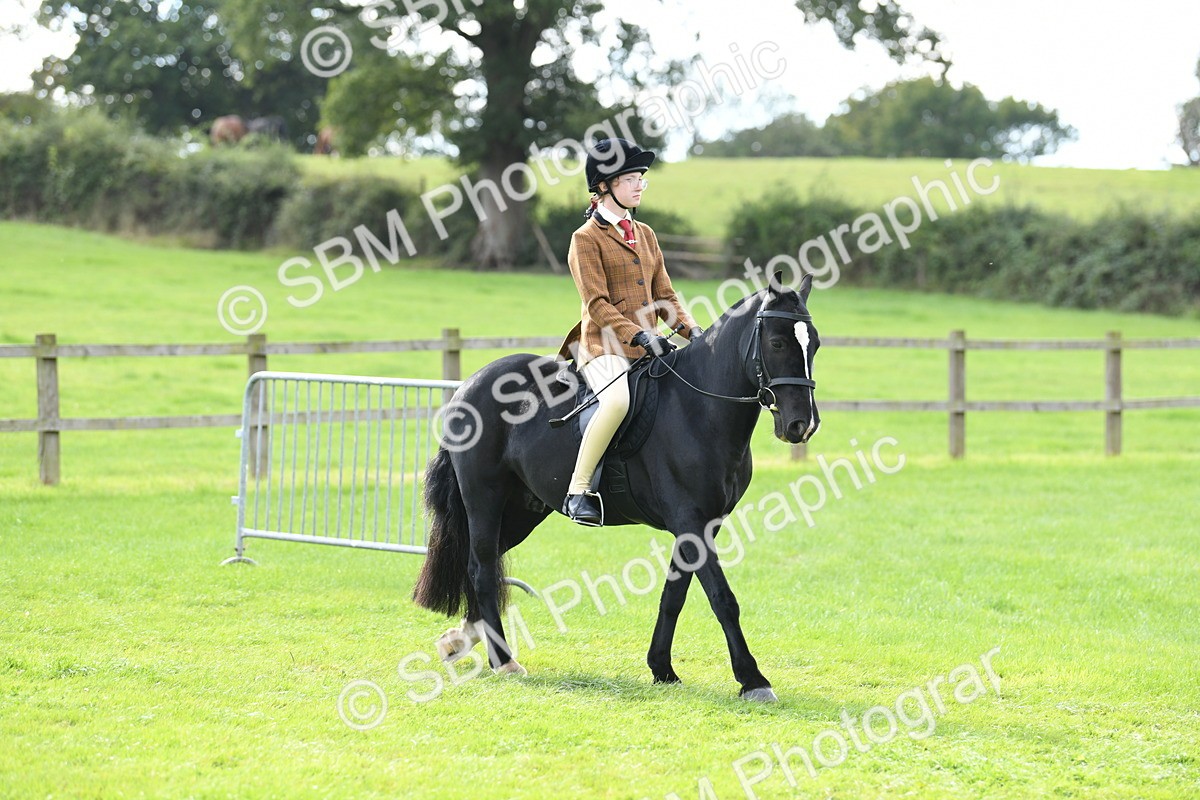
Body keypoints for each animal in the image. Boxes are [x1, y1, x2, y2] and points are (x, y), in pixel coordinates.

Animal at [412, 274, 821, 701]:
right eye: (777, 343)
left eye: (815, 344)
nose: (801, 425)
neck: (700, 410)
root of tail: (470, 384)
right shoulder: (691, 522)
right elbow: (722, 598)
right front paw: (753, 680)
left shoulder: (702, 525)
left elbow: (674, 596)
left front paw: (662, 668)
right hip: (485, 499)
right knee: (481, 567)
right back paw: (504, 660)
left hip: (522, 509)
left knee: (485, 563)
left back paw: (460, 640)